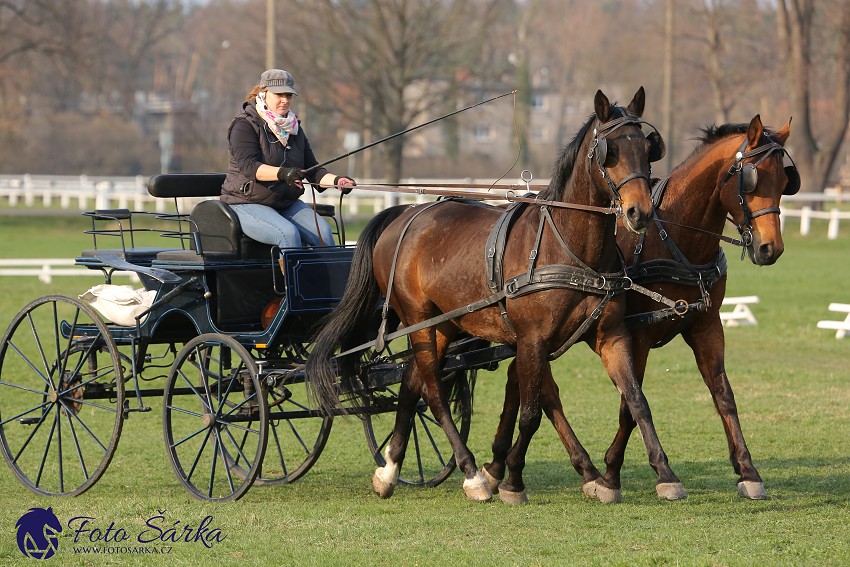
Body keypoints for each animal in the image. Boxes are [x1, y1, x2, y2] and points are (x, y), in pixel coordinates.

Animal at [304, 86, 684, 504]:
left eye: (647, 148)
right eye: (609, 149)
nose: (639, 212)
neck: (567, 247)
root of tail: (404, 213)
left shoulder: (611, 335)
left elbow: (637, 401)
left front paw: (663, 474)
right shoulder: (532, 340)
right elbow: (531, 414)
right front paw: (512, 479)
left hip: (443, 326)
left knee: (410, 384)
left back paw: (389, 471)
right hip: (419, 320)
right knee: (433, 392)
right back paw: (471, 474)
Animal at [484, 114, 796, 502]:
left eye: (784, 180)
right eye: (751, 178)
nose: (771, 248)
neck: (675, 240)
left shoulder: (706, 326)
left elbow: (723, 394)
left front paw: (747, 471)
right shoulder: (638, 334)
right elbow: (629, 407)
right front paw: (616, 473)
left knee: (522, 382)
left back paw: (498, 467)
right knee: (542, 389)